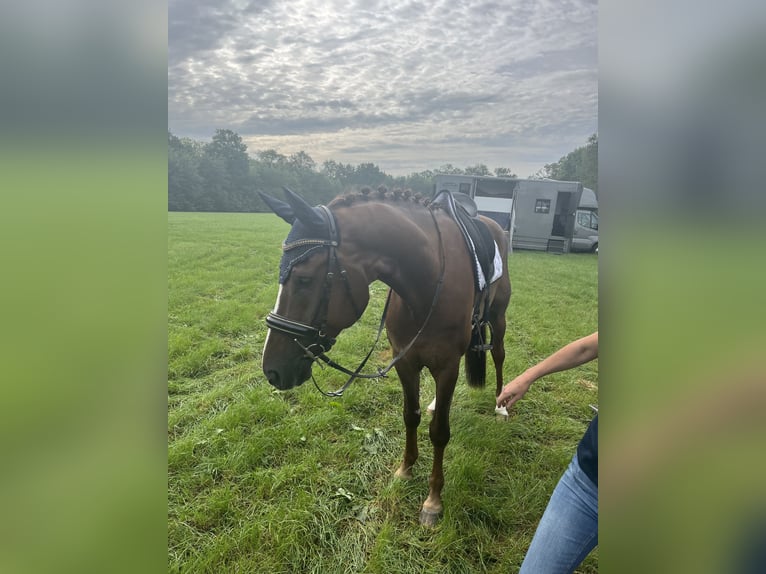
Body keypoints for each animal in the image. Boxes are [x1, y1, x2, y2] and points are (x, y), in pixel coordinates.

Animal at [260, 188, 512, 528]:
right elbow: (410, 416)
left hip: (498, 317)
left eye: (304, 280)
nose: (271, 370)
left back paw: (501, 403)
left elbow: (439, 432)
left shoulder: (446, 367)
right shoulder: (405, 361)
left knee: (498, 354)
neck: (426, 282)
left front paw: (433, 500)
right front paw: (405, 470)